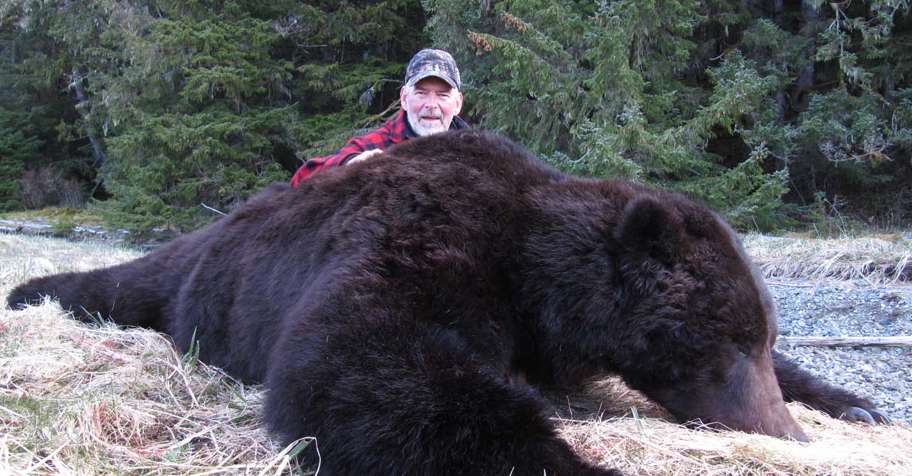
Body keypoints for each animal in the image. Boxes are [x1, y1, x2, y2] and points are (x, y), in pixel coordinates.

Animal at [8, 130, 888, 475]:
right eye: (731, 342)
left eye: (764, 338)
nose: (789, 434)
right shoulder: (433, 240)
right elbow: (363, 364)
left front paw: (855, 402)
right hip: (199, 278)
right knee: (122, 283)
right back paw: (29, 291)